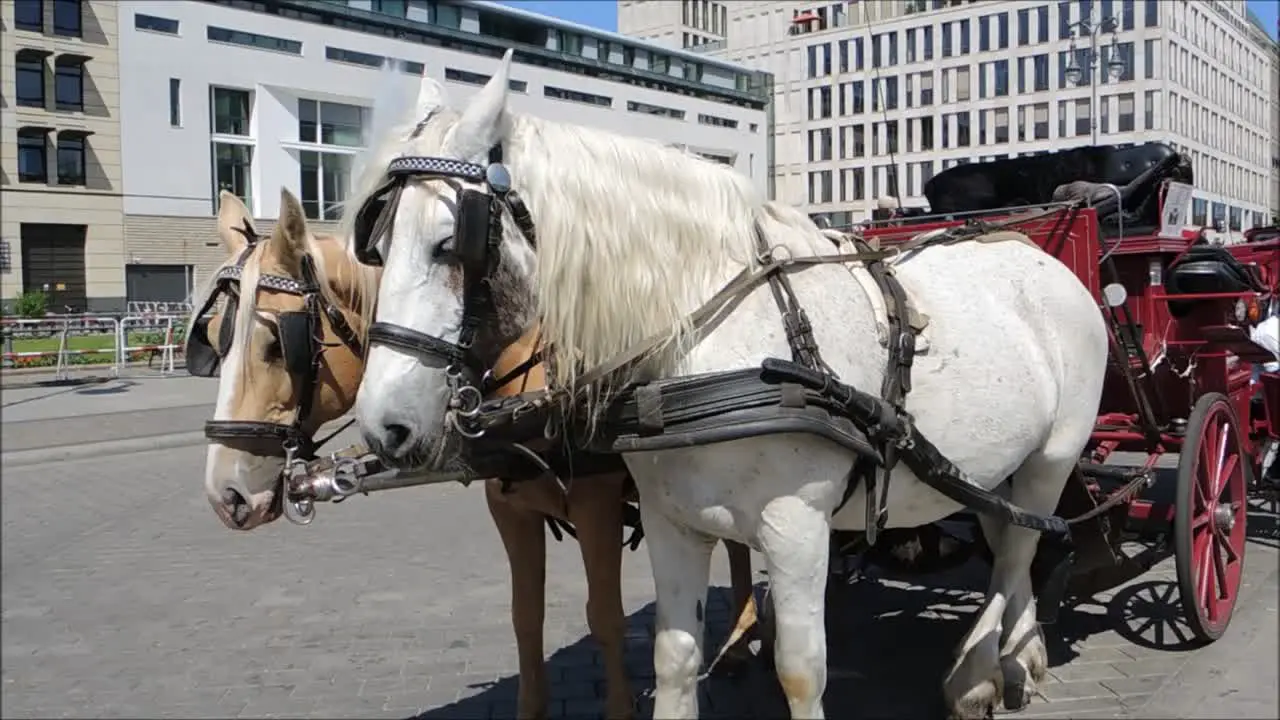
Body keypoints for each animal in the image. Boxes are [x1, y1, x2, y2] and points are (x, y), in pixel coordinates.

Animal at [193, 188, 752, 712]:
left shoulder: (597, 505)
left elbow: (605, 617)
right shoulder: (510, 509)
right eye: (213, 338)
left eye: (275, 345)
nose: (226, 494)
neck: (528, 372)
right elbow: (526, 617)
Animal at [345, 51, 1105, 717]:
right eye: (373, 246)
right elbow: (675, 661)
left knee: (1018, 553)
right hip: (986, 467)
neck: (712, 342)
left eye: (451, 244)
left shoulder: (796, 528)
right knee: (1010, 539)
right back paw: (1019, 655)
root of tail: (1038, 255)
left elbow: (799, 672)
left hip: (1053, 456)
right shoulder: (672, 523)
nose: (384, 425)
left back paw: (979, 673)